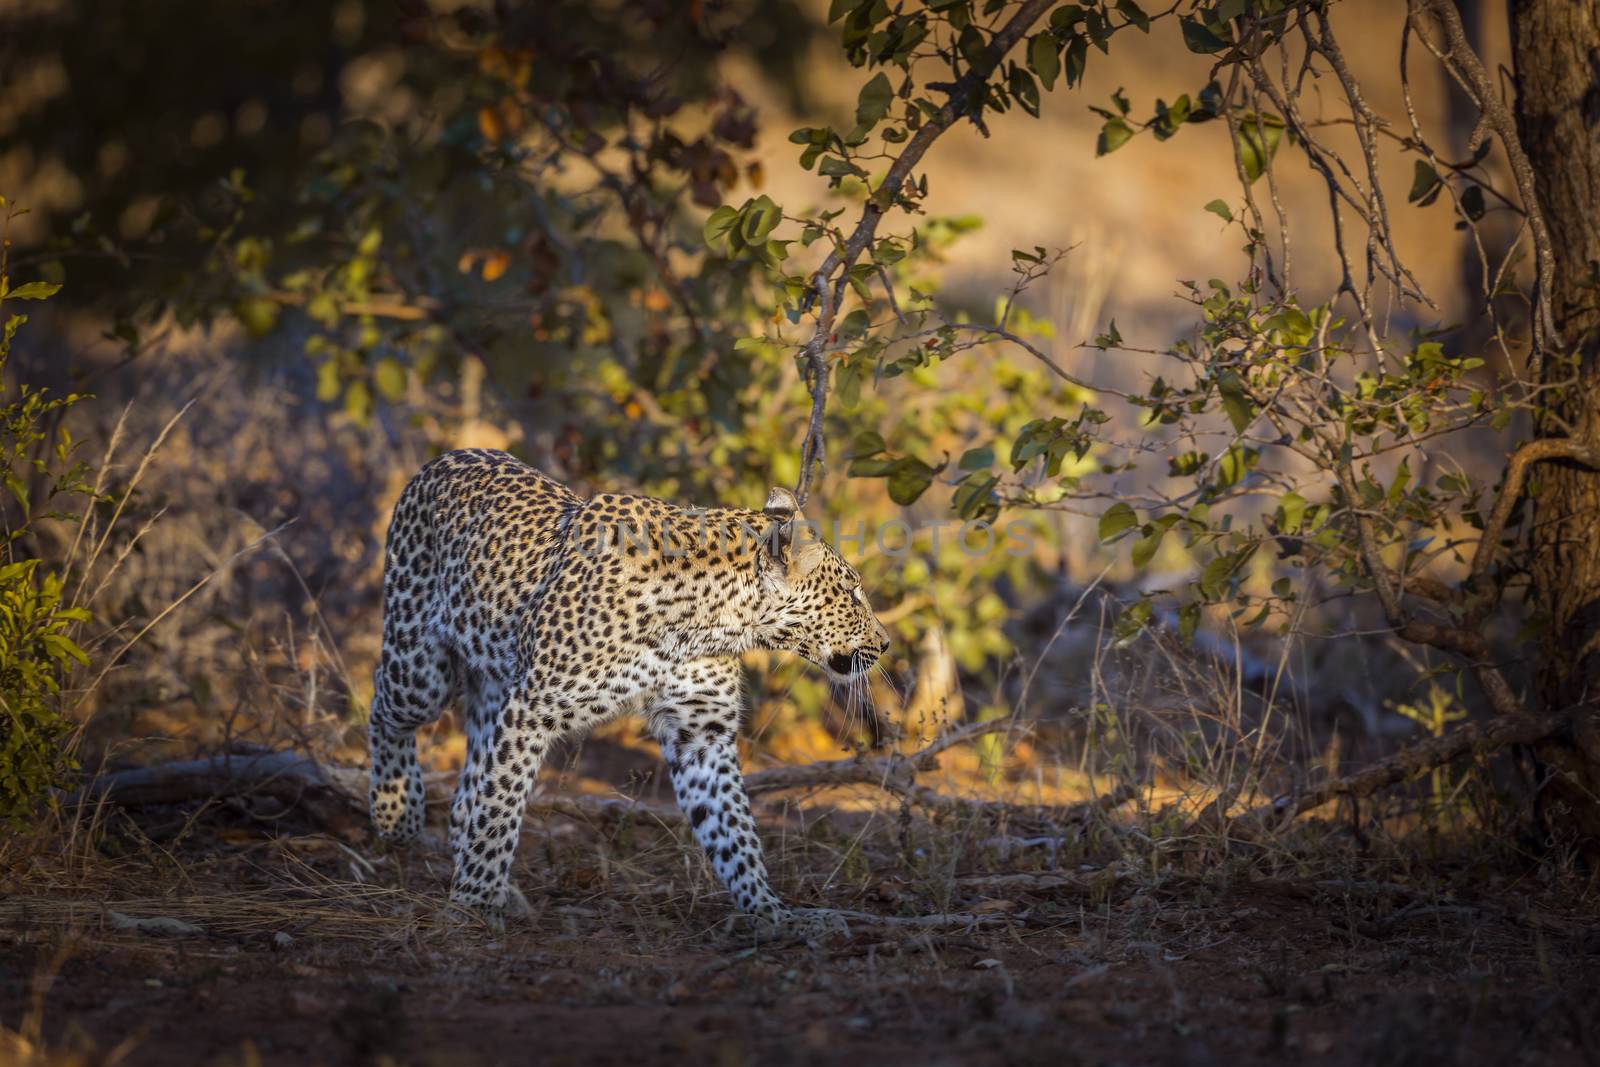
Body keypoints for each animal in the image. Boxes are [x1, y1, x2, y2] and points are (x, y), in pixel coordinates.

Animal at [368, 447, 889, 927]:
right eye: (852, 592)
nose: (885, 644)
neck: (707, 621)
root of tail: (445, 457)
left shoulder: (701, 733)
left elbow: (732, 827)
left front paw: (770, 912)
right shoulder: (532, 709)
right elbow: (501, 807)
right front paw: (472, 903)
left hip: (493, 684)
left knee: (467, 793)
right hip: (421, 669)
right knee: (384, 705)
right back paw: (397, 815)